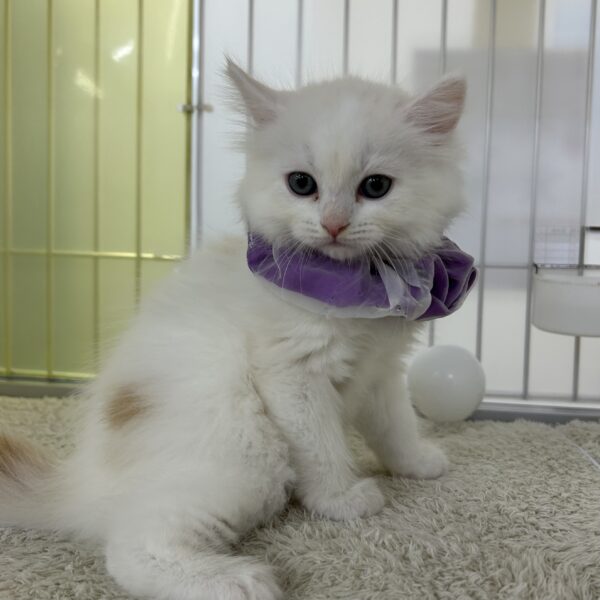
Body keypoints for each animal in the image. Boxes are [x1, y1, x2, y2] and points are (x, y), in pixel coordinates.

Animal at [0, 60, 466, 600]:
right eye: (302, 184)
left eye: (375, 187)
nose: (333, 224)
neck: (351, 286)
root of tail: (79, 483)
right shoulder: (292, 375)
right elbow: (322, 447)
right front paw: (342, 500)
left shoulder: (382, 371)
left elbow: (396, 426)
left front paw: (417, 464)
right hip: (244, 457)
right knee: (132, 548)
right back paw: (239, 581)